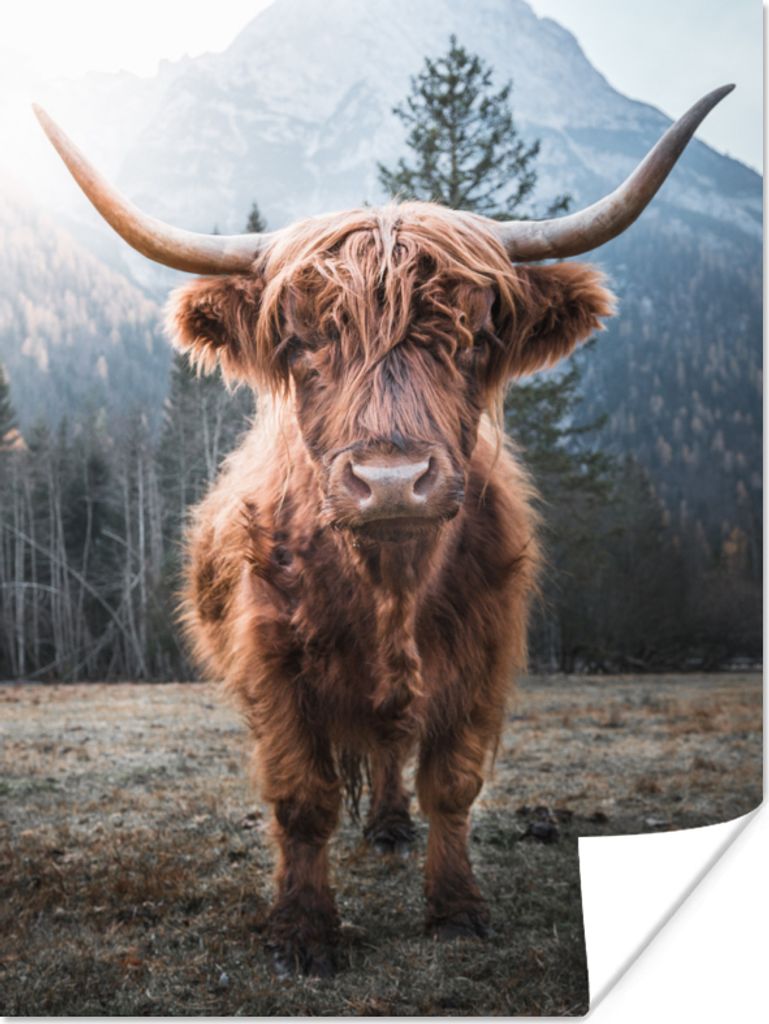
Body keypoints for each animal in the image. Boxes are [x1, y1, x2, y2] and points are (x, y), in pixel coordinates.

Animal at [35, 84, 731, 977]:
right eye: (300, 341)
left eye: (474, 338)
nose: (392, 481)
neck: (389, 585)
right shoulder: (273, 665)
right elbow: (302, 797)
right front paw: (302, 930)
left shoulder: (481, 656)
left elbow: (451, 784)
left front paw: (457, 908)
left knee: (390, 749)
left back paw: (393, 827)